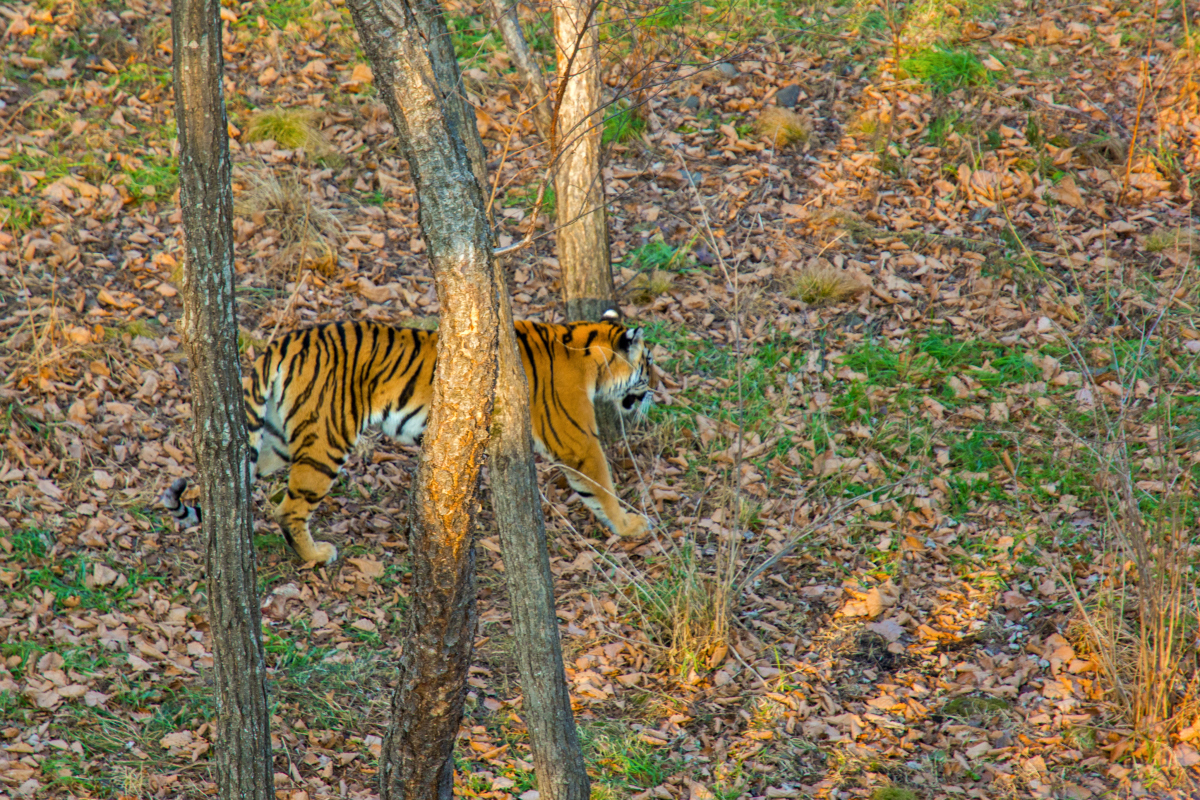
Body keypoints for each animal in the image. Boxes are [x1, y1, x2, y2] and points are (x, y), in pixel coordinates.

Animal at [162, 311, 657, 563]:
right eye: (648, 363)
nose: (654, 391)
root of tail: (285, 343)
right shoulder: (576, 439)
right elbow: (602, 486)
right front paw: (632, 526)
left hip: (278, 439)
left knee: (241, 484)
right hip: (325, 442)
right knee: (288, 507)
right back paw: (317, 555)